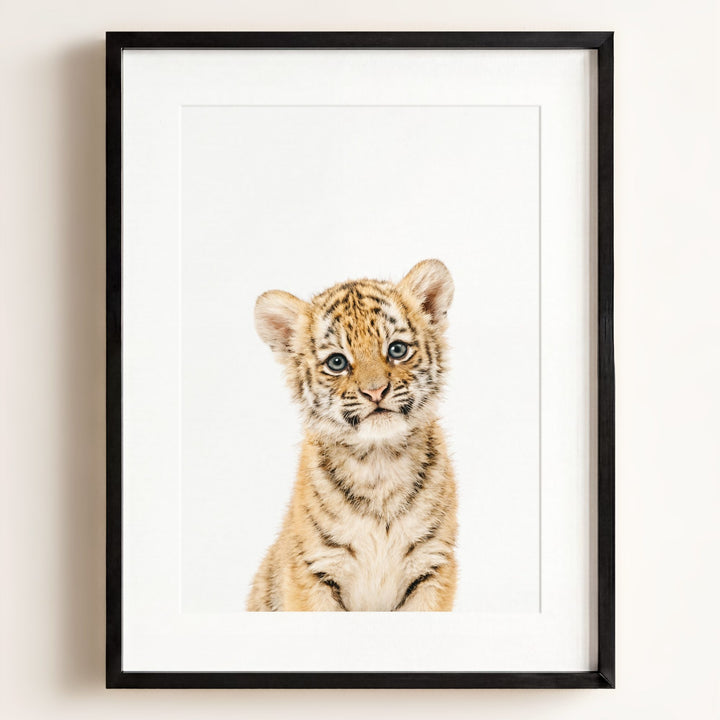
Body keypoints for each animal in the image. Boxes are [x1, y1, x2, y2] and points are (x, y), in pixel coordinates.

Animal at [247, 259, 457, 611]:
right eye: (337, 362)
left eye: (397, 349)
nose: (375, 391)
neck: (379, 461)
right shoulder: (313, 569)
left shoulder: (433, 565)